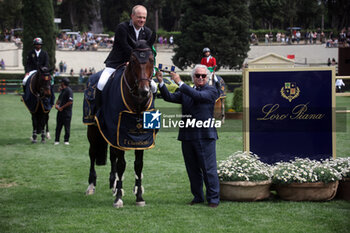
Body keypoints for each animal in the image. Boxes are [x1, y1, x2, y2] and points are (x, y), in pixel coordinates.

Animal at [85, 39, 154, 208]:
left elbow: (138, 165)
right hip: (93, 130)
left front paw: (139, 196)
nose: (144, 91)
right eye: (133, 60)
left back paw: (114, 184)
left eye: (152, 59)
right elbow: (122, 164)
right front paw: (118, 199)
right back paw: (91, 185)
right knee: (92, 154)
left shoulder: (140, 138)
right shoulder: (121, 134)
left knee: (112, 157)